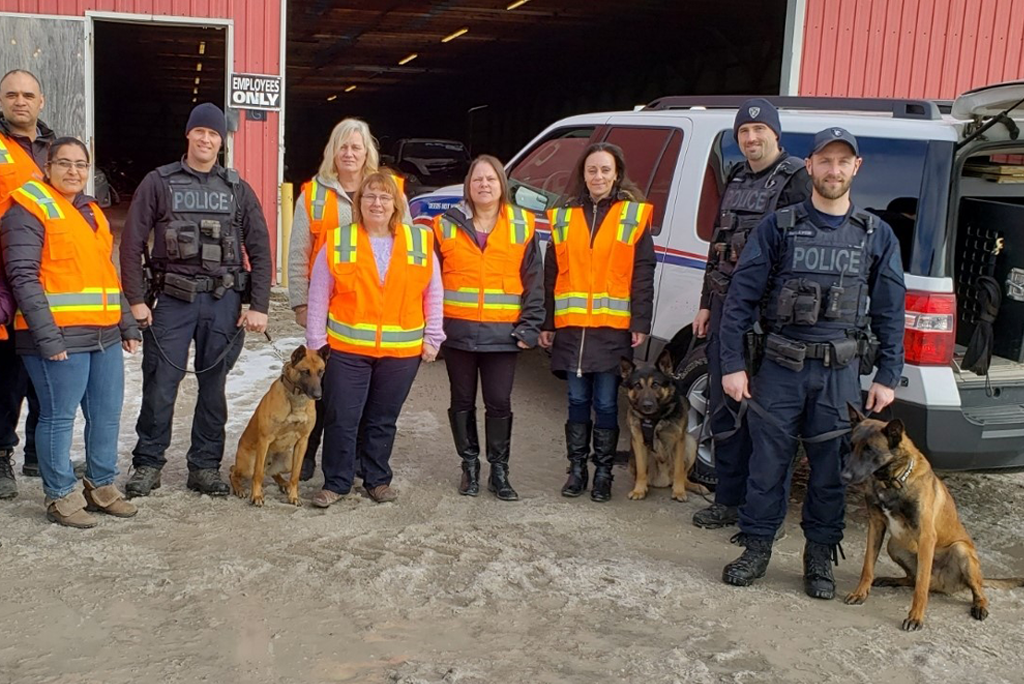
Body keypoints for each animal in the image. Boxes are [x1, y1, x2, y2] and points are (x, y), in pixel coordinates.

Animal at [230, 344, 329, 505]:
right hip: (248, 465)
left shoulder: (302, 442)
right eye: (305, 372)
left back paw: (284, 484)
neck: (296, 401)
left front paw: (294, 496)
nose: (318, 395)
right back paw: (239, 488)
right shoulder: (265, 439)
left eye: (321, 371)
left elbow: (295, 475)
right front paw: (256, 495)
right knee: (235, 472)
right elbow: (258, 475)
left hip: (288, 460)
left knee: (274, 473)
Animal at [618, 348, 708, 501]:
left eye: (655, 384)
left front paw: (679, 492)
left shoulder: (679, 441)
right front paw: (639, 490)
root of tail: (663, 481)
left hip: (690, 442)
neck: (655, 418)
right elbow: (641, 470)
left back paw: (693, 486)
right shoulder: (638, 441)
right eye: (637, 385)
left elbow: (679, 470)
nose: (647, 405)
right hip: (633, 455)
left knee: (683, 476)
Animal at [843, 405, 1019, 630]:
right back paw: (891, 579)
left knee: (975, 591)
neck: (893, 481)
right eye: (852, 445)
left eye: (870, 450)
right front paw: (860, 593)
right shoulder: (876, 525)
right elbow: (867, 565)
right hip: (894, 544)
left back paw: (979, 606)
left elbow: (921, 586)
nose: (844, 476)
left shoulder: (926, 536)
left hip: (961, 551)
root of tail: (941, 583)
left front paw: (915, 617)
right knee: (912, 578)